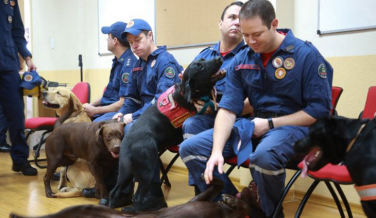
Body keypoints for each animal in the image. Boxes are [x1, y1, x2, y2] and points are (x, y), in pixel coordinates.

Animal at [108, 56, 226, 211]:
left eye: (203, 59)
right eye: (200, 67)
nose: (218, 57)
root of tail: (126, 143)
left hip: (126, 172)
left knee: (115, 191)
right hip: (148, 168)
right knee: (140, 194)